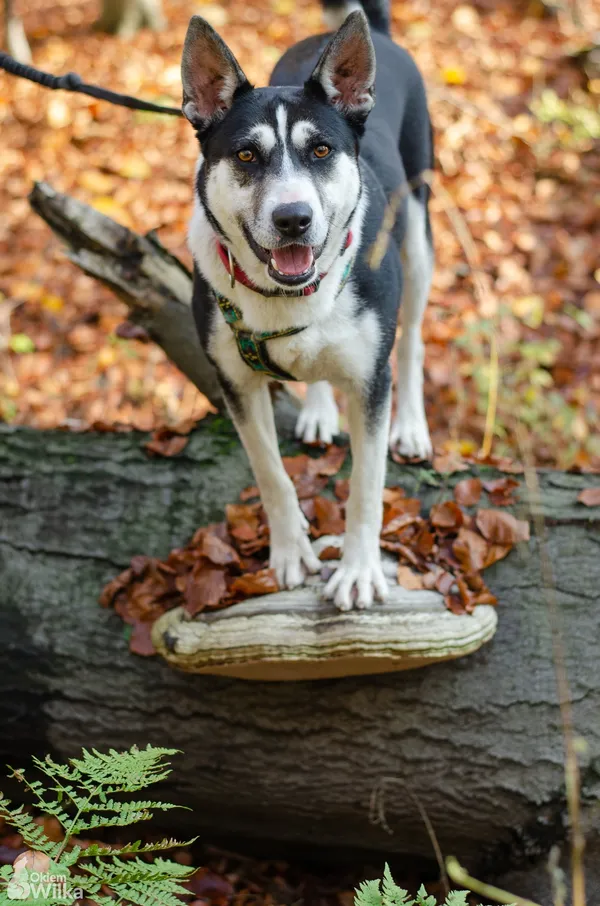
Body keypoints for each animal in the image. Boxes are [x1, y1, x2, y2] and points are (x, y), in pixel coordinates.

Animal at [180, 0, 434, 612]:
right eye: (246, 154)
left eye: (320, 149)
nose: (293, 219)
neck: (286, 296)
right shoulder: (235, 383)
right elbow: (270, 472)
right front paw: (291, 552)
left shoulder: (370, 382)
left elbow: (367, 486)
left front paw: (360, 571)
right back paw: (319, 409)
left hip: (418, 230)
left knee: (413, 338)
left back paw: (413, 427)